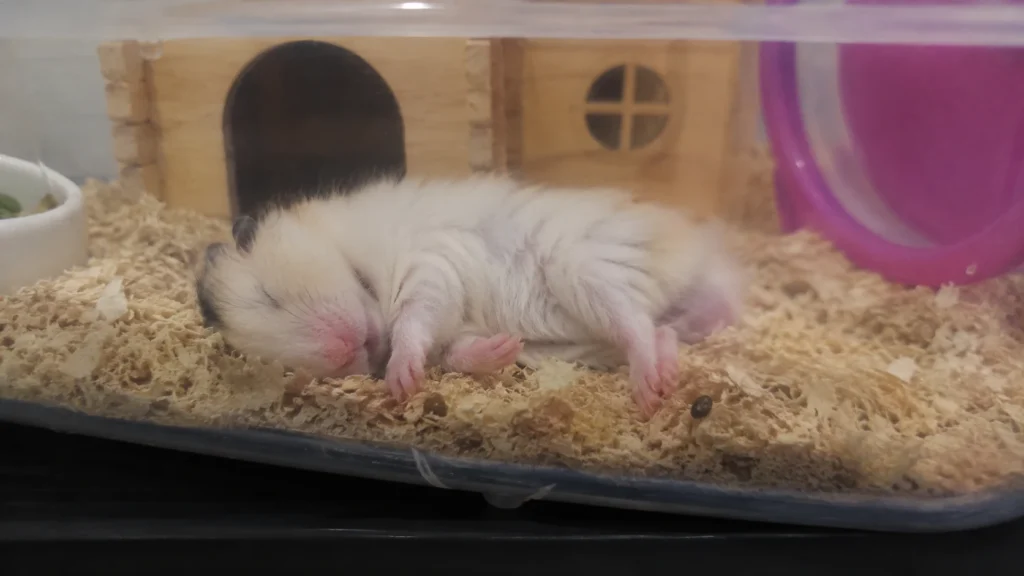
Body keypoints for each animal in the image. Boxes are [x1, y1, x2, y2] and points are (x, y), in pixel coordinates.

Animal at [196, 174, 745, 415]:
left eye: (269, 296)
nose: (342, 351)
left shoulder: (428, 270)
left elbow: (414, 325)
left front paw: (401, 382)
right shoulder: (451, 330)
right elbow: (456, 351)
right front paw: (499, 349)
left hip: (582, 268)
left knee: (638, 326)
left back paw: (649, 388)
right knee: (661, 329)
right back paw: (666, 373)